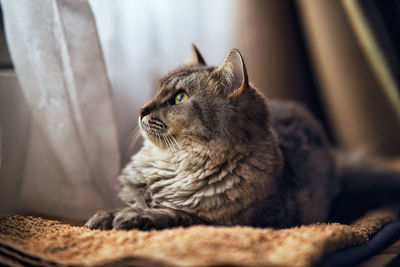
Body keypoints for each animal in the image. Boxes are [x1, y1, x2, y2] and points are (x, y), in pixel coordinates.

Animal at [86, 45, 400, 230]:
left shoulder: (227, 222)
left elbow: (174, 214)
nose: (141, 110)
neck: (175, 165)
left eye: (179, 98)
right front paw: (103, 217)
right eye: (157, 90)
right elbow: (129, 204)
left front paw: (132, 218)